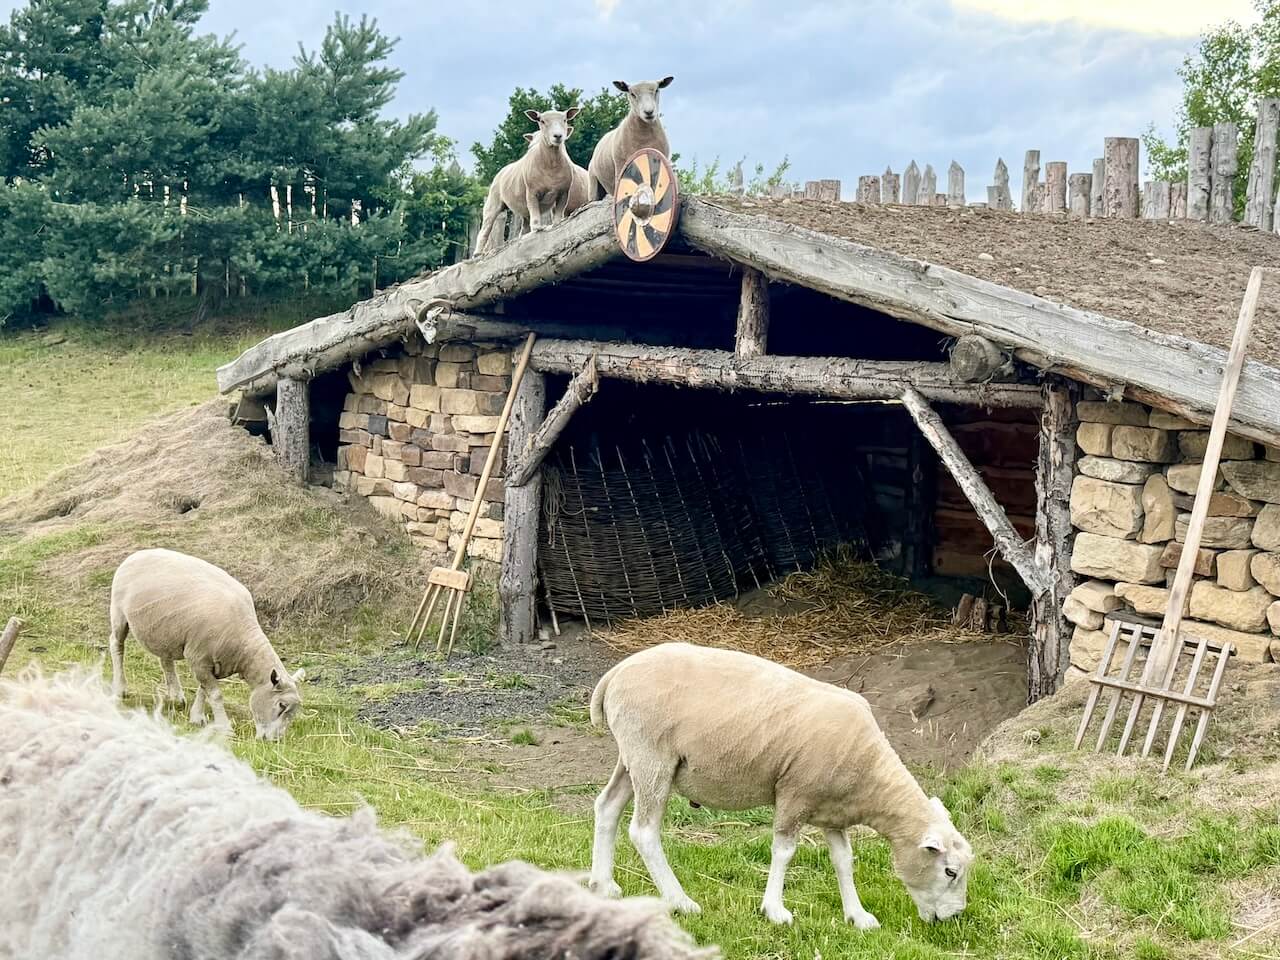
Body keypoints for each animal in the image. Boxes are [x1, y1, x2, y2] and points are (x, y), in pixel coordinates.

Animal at [109, 547, 303, 740]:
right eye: (281, 705)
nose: (275, 741)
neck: (244, 646)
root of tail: (139, 552)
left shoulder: (212, 663)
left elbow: (203, 690)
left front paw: (196, 717)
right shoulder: (198, 657)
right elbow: (215, 695)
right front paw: (225, 728)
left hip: (164, 631)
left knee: (165, 660)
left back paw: (176, 696)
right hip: (118, 613)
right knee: (117, 645)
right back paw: (120, 689)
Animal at [473, 108, 581, 255]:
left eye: (565, 120)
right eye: (542, 121)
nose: (558, 136)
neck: (551, 165)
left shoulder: (563, 193)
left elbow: (558, 214)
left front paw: (556, 224)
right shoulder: (532, 192)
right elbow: (534, 211)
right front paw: (538, 229)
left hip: (522, 210)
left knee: (523, 228)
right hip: (493, 202)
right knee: (485, 228)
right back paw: (477, 253)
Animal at [588, 642, 974, 929]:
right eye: (950, 871)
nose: (955, 917)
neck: (871, 779)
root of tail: (615, 673)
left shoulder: (832, 812)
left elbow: (843, 860)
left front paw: (858, 915)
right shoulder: (794, 794)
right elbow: (784, 852)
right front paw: (775, 910)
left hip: (633, 758)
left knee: (607, 807)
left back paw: (603, 885)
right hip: (653, 758)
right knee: (644, 831)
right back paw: (680, 901)